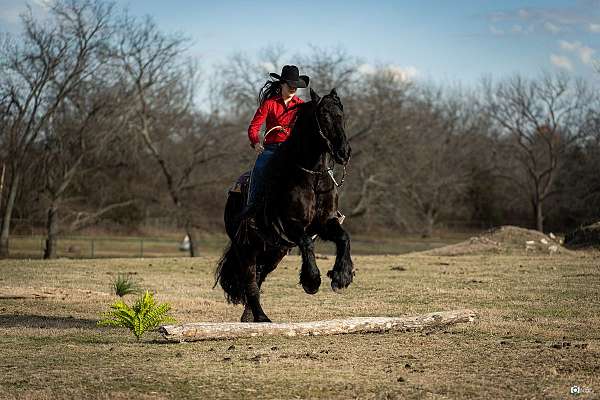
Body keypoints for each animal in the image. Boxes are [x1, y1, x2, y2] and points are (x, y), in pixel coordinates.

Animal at [214, 87, 352, 322]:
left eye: (342, 115)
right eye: (323, 115)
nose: (344, 152)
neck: (312, 178)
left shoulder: (325, 222)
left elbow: (343, 237)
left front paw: (342, 276)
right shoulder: (290, 224)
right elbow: (306, 243)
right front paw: (311, 281)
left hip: (273, 251)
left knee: (259, 277)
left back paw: (250, 316)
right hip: (245, 249)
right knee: (250, 280)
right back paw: (261, 317)